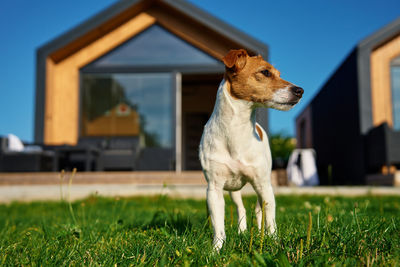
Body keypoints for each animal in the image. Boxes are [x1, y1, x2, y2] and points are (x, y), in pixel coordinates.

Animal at [197, 48, 304, 251]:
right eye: (265, 72)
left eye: (279, 74)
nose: (300, 90)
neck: (236, 131)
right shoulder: (214, 189)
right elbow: (218, 225)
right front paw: (216, 249)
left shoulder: (264, 185)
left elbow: (270, 219)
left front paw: (273, 241)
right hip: (233, 190)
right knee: (241, 209)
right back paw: (242, 231)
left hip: (262, 184)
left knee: (259, 209)